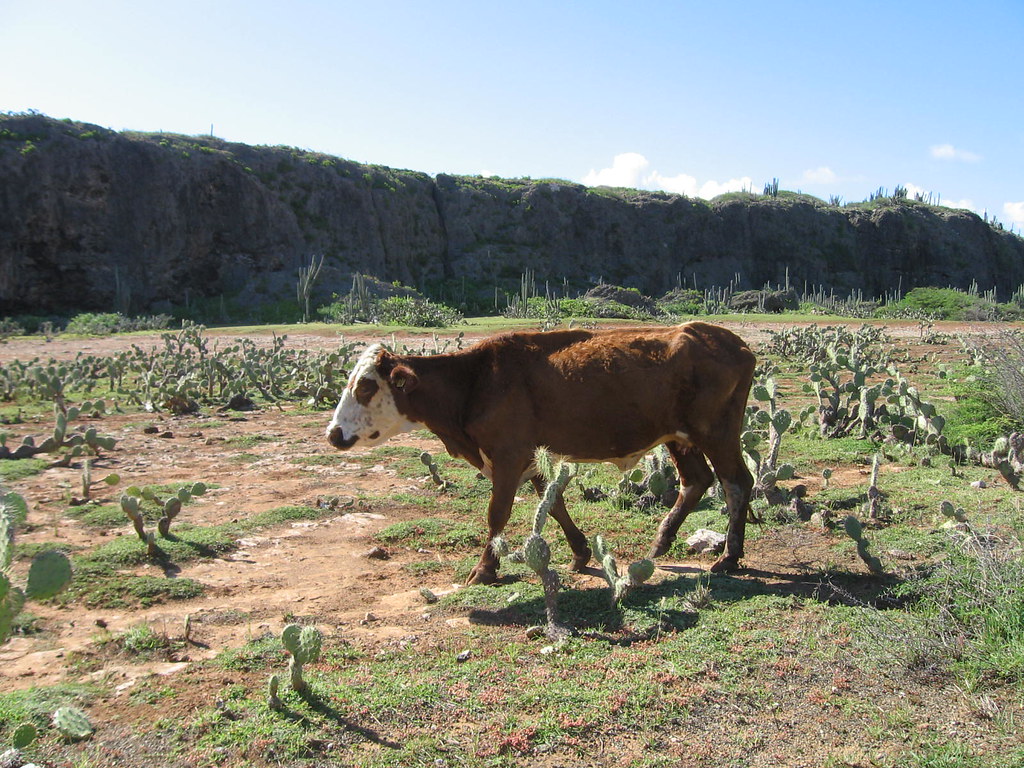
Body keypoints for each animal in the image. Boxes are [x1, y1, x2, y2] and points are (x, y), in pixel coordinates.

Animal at [326, 322, 756, 585]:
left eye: (365, 387)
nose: (333, 433)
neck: (475, 381)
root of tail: (734, 342)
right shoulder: (533, 456)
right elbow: (553, 501)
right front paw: (580, 553)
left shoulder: (508, 454)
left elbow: (498, 513)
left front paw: (485, 569)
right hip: (680, 437)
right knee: (696, 481)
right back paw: (661, 542)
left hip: (716, 433)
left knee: (737, 482)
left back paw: (728, 557)